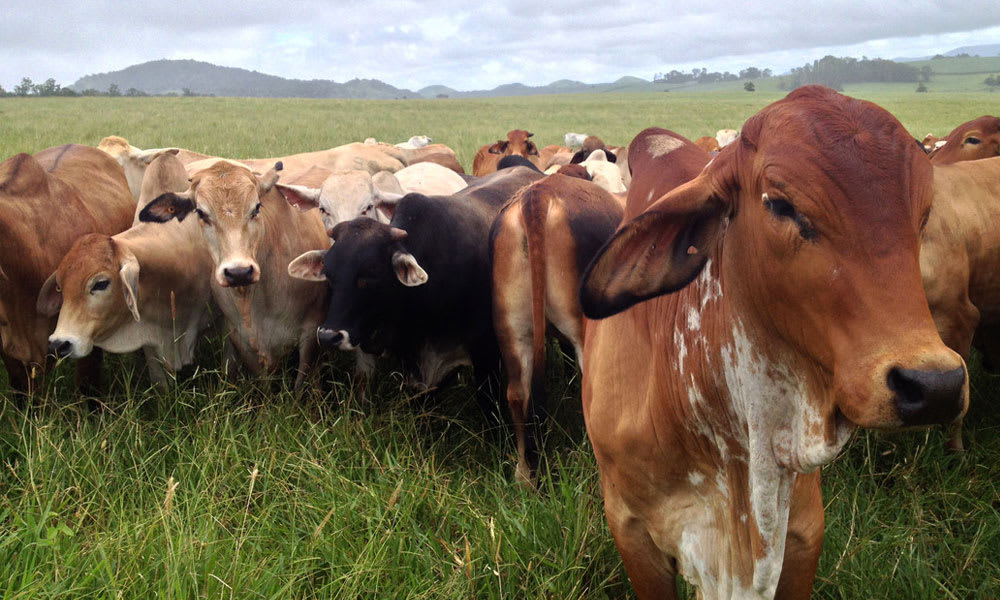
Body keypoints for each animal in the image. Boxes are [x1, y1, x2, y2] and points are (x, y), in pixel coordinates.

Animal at [138, 161, 328, 389]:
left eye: (256, 207)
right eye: (201, 213)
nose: (239, 272)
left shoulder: (311, 334)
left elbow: (302, 385)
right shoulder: (240, 337)